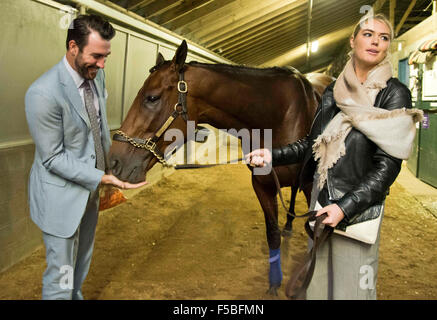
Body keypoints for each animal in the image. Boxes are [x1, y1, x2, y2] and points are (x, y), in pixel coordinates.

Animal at [109, 40, 334, 296]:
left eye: (152, 98)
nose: (114, 161)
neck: (280, 117)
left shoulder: (311, 186)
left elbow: (313, 237)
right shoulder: (262, 185)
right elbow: (272, 235)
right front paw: (273, 284)